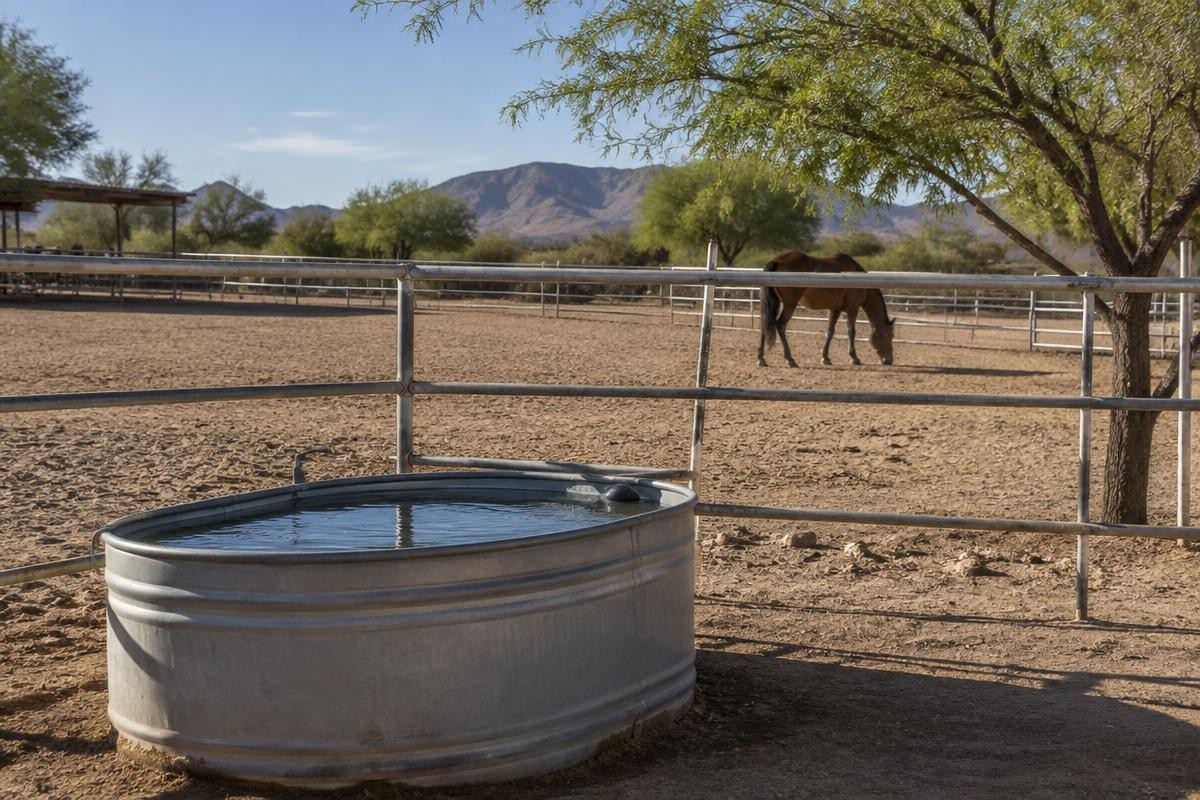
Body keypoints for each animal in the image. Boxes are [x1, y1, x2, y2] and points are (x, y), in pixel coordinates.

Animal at [757, 251, 896, 367]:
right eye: (890, 335)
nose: (889, 360)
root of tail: (776, 261)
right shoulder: (852, 308)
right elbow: (851, 332)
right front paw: (854, 357)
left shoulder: (835, 310)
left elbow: (830, 332)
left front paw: (825, 358)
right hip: (789, 304)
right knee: (780, 324)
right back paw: (790, 359)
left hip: (774, 303)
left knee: (765, 324)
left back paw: (761, 358)